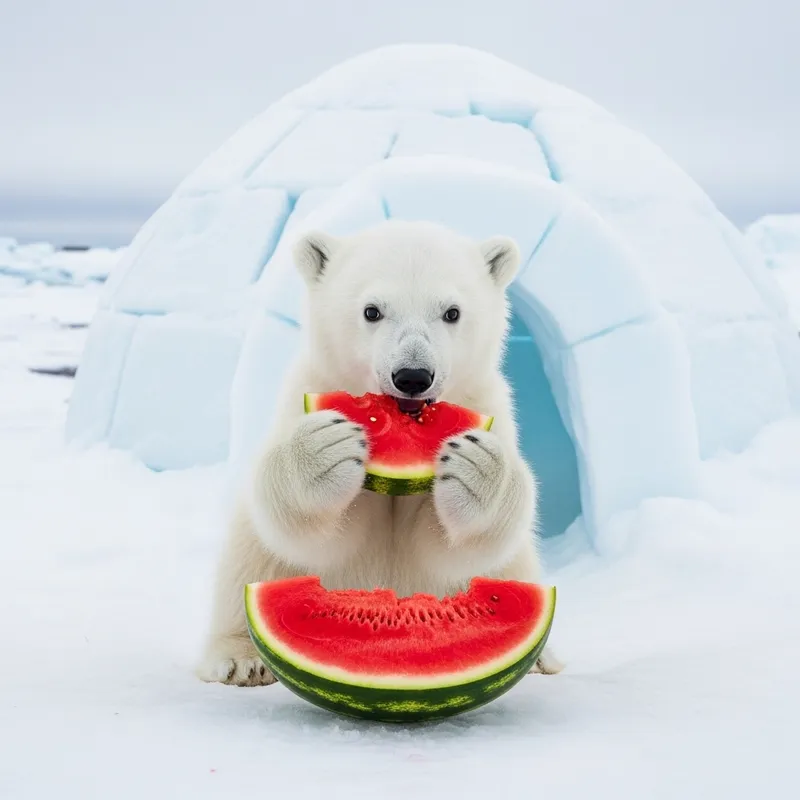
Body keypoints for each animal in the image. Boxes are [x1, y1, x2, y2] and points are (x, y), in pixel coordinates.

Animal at [196, 219, 562, 686]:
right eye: (372, 311)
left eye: (452, 312)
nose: (413, 376)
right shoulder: (307, 389)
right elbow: (315, 534)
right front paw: (322, 453)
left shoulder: (489, 405)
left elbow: (450, 548)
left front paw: (478, 470)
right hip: (250, 559)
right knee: (252, 559)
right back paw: (241, 658)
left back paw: (541, 658)